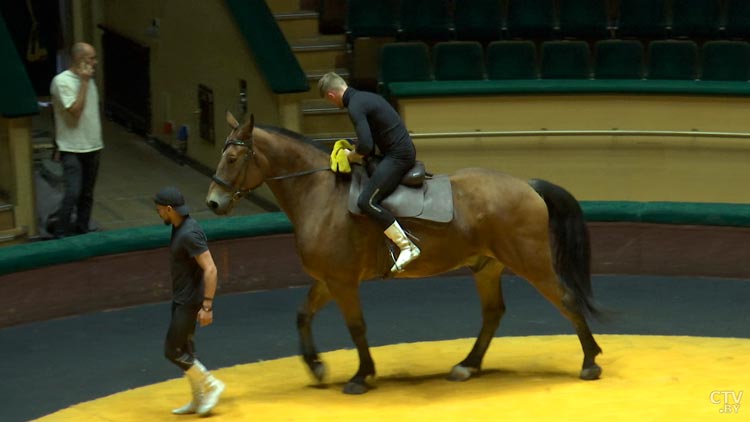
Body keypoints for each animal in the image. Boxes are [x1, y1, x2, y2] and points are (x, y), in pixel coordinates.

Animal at [207, 112, 604, 396]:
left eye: (233, 157)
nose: (213, 202)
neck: (320, 192)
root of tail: (527, 185)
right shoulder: (328, 279)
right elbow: (303, 315)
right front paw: (316, 365)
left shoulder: (342, 282)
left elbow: (356, 327)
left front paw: (361, 375)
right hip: (487, 267)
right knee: (493, 314)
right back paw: (467, 365)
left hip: (532, 262)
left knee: (567, 299)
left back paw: (590, 362)